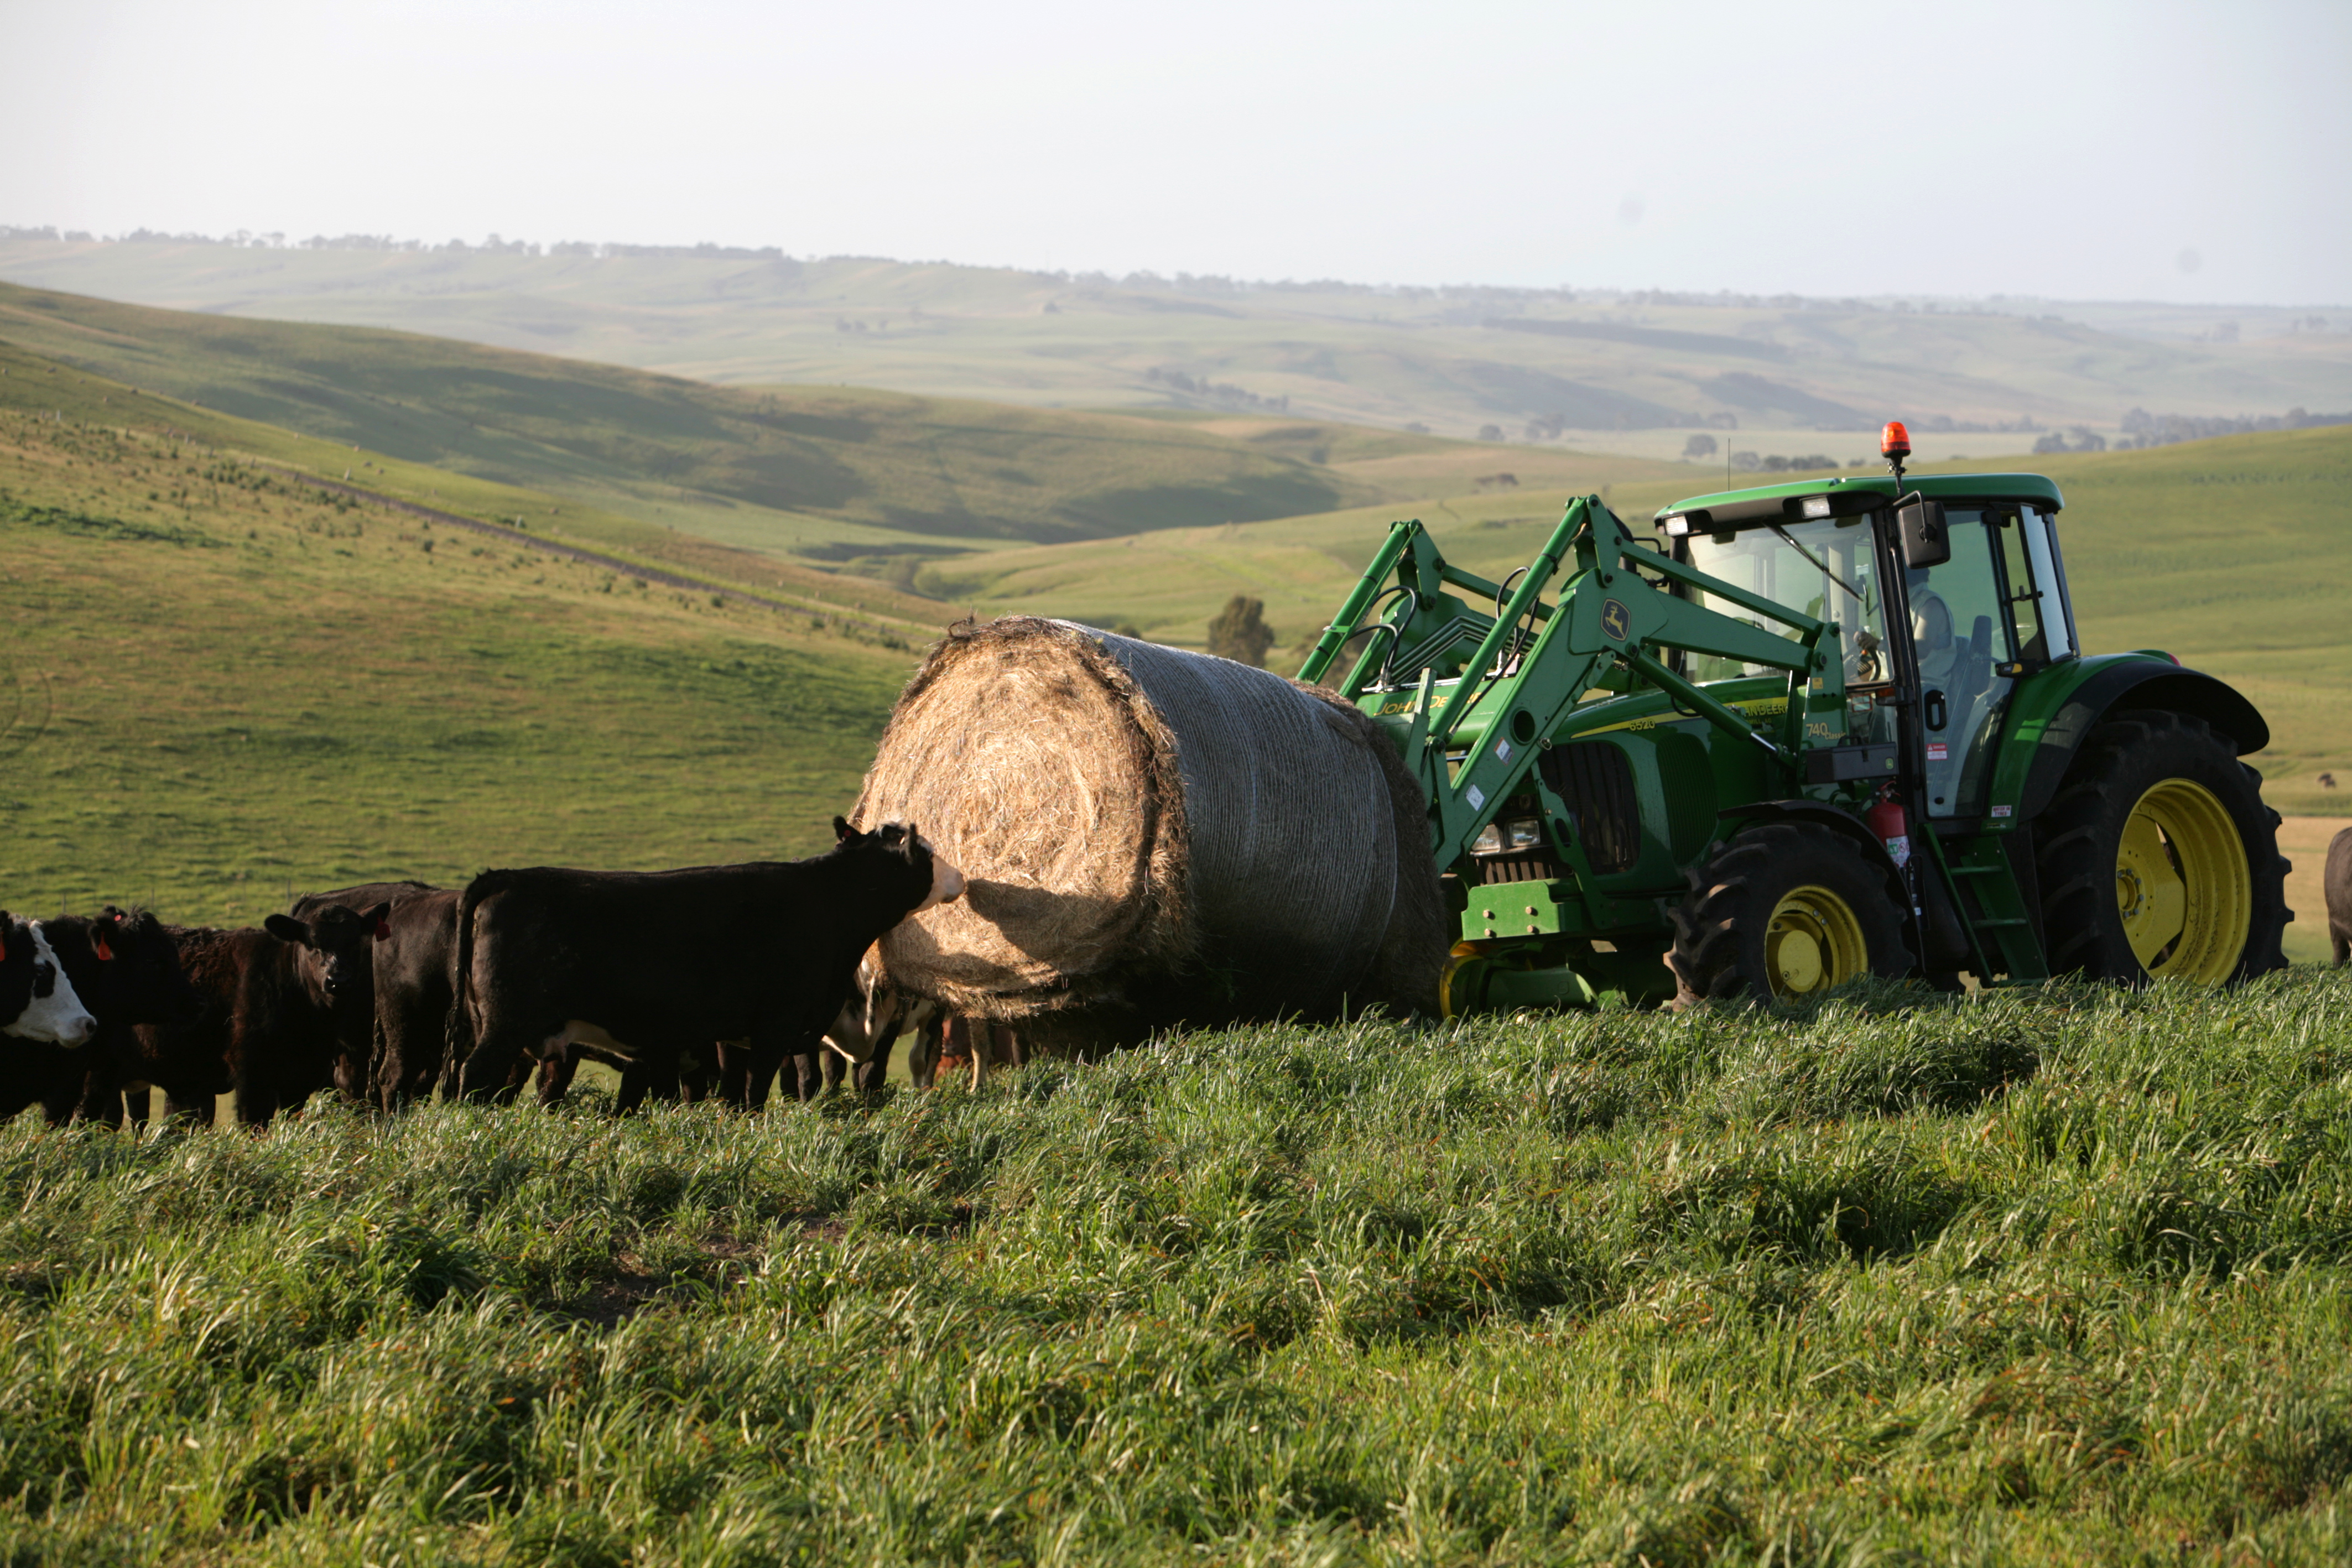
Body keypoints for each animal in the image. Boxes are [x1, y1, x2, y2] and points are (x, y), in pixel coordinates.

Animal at [449, 827, 964, 1109]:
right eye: (927, 854)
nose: (960, 877)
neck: (825, 901)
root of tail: (507, 877)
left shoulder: (735, 1035)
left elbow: (734, 1094)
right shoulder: (775, 1025)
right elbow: (756, 1089)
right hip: (504, 1024)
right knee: (474, 1076)